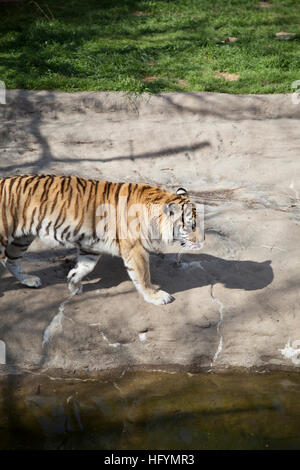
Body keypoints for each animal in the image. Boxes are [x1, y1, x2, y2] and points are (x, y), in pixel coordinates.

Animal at [0, 173, 203, 304]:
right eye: (191, 225)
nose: (202, 240)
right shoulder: (136, 250)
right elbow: (144, 276)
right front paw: (156, 296)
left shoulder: (90, 245)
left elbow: (84, 267)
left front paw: (73, 284)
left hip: (22, 238)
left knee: (11, 260)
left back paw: (29, 280)